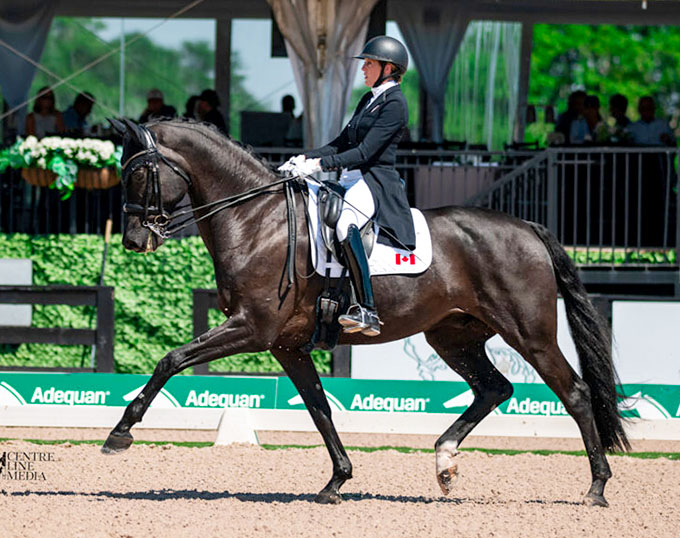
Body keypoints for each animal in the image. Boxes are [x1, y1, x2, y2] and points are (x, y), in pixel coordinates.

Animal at [102, 117, 629, 507]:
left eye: (138, 173)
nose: (133, 240)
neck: (257, 221)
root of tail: (527, 227)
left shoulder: (252, 328)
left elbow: (171, 360)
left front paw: (120, 433)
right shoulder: (286, 345)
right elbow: (318, 408)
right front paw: (337, 481)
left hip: (529, 333)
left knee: (575, 392)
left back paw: (596, 488)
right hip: (453, 336)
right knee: (494, 388)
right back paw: (444, 463)